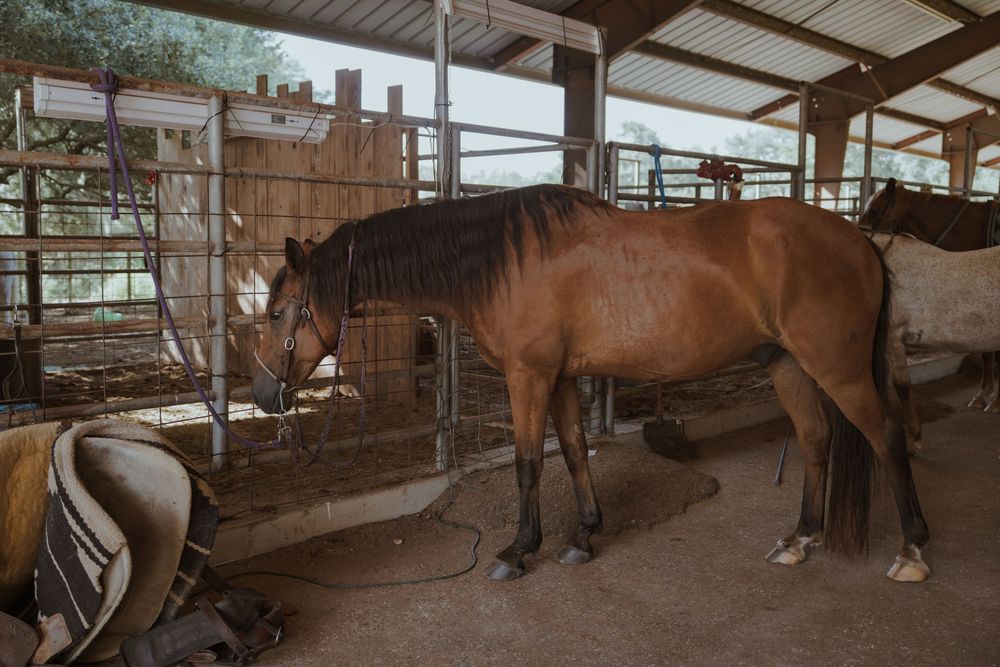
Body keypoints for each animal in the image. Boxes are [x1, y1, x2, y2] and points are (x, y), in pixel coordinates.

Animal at [252, 184, 930, 583]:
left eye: (280, 311)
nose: (263, 396)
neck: (501, 261)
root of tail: (858, 239)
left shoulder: (528, 376)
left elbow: (528, 463)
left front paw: (518, 551)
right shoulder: (558, 378)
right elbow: (575, 452)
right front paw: (583, 536)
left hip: (838, 369)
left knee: (889, 438)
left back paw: (912, 551)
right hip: (787, 364)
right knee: (816, 442)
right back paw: (800, 538)